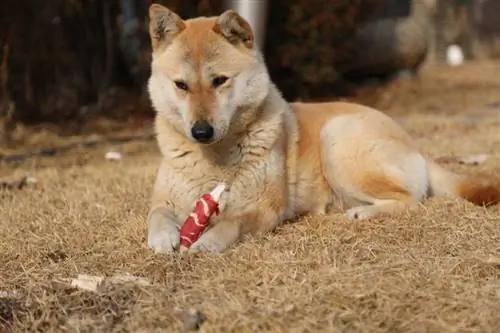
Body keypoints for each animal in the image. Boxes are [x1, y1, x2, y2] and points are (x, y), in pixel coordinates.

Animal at [145, 3, 500, 252]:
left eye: (219, 81)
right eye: (181, 85)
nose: (200, 132)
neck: (215, 157)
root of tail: (413, 144)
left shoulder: (264, 209)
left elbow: (231, 224)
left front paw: (207, 241)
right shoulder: (164, 200)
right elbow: (157, 216)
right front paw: (163, 240)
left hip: (337, 138)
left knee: (411, 199)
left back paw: (364, 213)